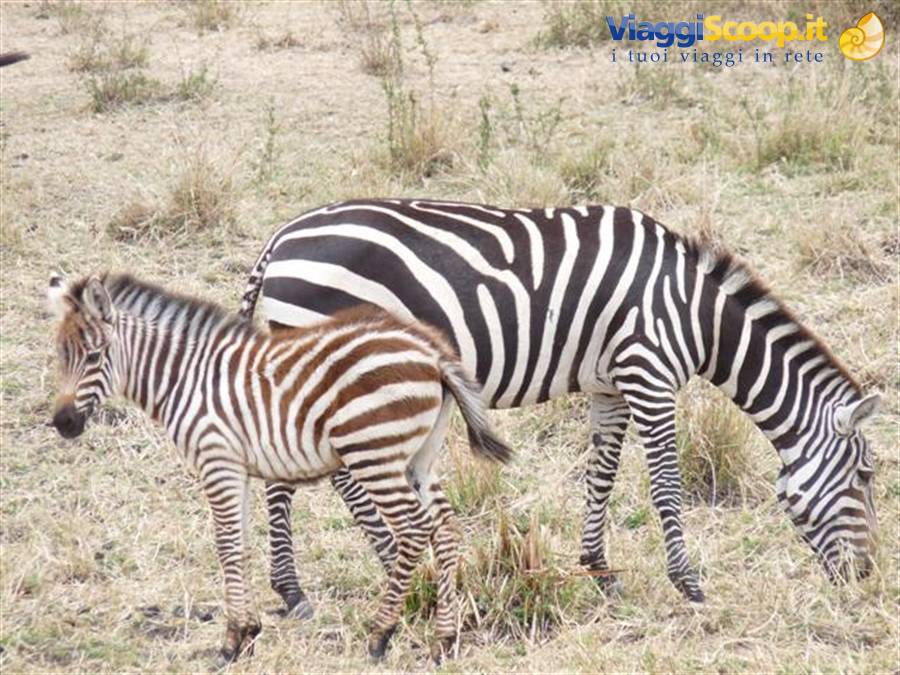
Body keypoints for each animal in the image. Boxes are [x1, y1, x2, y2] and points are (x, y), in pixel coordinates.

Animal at [46, 272, 512, 663]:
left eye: (94, 355)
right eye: (60, 356)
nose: (63, 423)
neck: (185, 380)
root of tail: (431, 352)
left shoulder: (217, 460)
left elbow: (226, 544)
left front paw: (232, 641)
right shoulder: (236, 466)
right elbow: (240, 544)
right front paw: (248, 631)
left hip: (373, 454)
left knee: (415, 529)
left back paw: (381, 634)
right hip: (420, 458)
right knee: (445, 529)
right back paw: (444, 641)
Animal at [240, 198, 880, 609]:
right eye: (867, 477)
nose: (867, 578)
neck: (694, 315)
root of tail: (280, 238)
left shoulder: (611, 385)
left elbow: (601, 475)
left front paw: (599, 570)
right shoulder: (650, 374)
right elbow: (665, 484)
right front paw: (688, 584)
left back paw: (376, 562)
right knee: (304, 474)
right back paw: (306, 586)